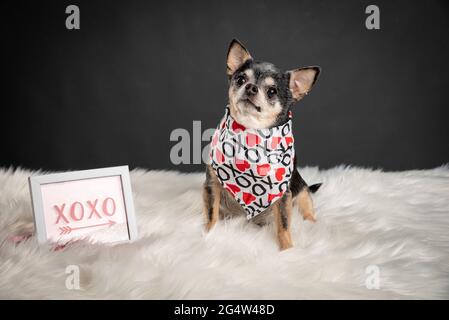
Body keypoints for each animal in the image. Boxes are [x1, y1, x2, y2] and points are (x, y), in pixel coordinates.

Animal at [201, 40, 320, 250]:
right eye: (240, 79)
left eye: (272, 91)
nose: (250, 88)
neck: (250, 133)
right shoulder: (211, 185)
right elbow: (211, 214)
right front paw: (208, 235)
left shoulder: (283, 196)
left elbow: (283, 225)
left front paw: (287, 250)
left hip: (302, 192)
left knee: (306, 210)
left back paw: (312, 224)